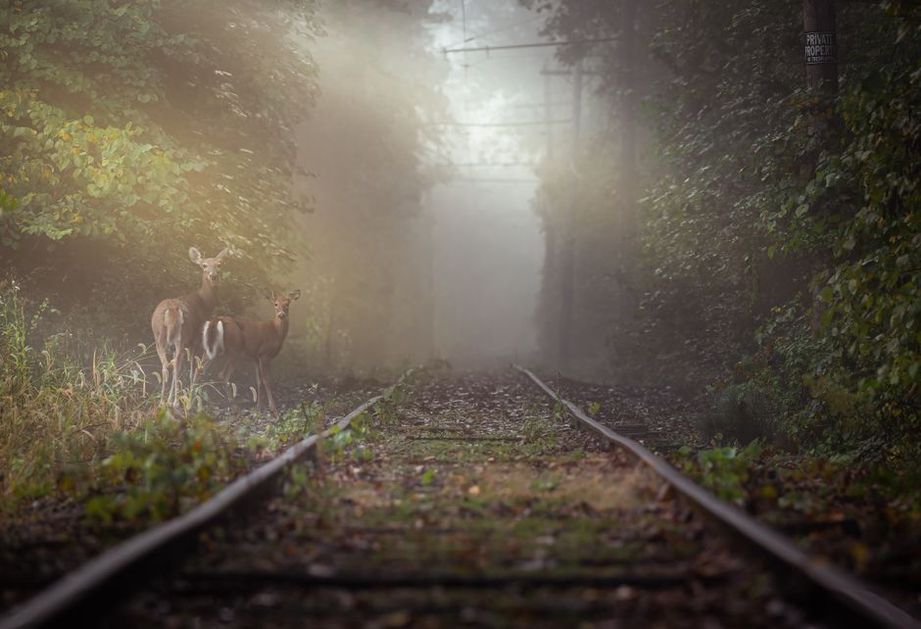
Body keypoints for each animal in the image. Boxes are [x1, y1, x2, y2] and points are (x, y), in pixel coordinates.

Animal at [151, 247, 230, 407]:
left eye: (219, 264)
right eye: (204, 265)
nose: (213, 276)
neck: (204, 302)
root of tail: (172, 311)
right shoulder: (196, 338)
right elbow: (193, 365)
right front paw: (191, 390)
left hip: (159, 336)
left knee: (165, 366)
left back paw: (162, 401)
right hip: (182, 337)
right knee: (175, 366)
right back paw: (174, 401)